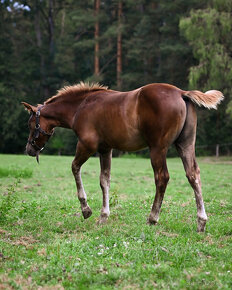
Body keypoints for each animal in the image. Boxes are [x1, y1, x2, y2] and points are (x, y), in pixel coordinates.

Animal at [22, 81, 224, 231]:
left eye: (31, 125)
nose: (29, 150)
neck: (81, 106)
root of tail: (181, 92)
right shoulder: (105, 149)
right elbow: (104, 180)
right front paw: (103, 216)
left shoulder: (87, 145)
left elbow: (75, 168)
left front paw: (86, 209)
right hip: (185, 145)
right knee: (193, 175)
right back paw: (201, 222)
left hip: (157, 148)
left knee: (162, 178)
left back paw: (152, 218)